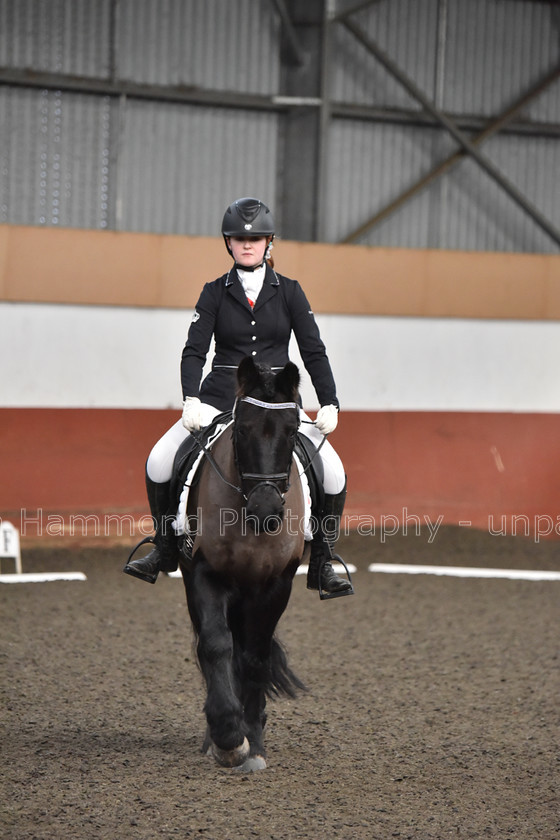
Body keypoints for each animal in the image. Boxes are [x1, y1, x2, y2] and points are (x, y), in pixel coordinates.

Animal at [175, 358, 306, 772]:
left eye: (292, 430)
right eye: (243, 429)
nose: (266, 510)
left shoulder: (277, 584)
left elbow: (255, 657)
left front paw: (254, 743)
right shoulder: (205, 573)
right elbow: (216, 646)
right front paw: (229, 737)